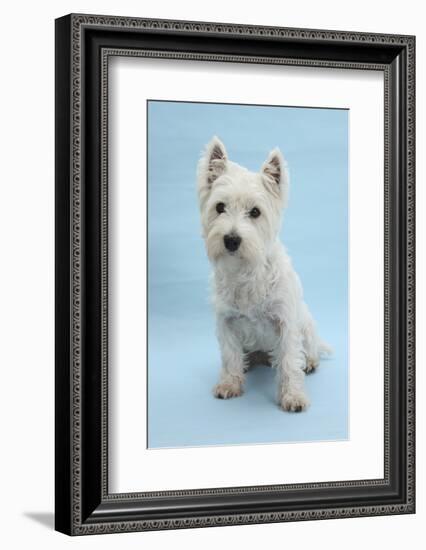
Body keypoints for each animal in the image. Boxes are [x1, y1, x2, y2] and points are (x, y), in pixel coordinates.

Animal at [196, 137, 330, 414]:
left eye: (255, 212)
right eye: (220, 207)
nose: (231, 240)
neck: (245, 270)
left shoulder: (285, 322)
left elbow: (289, 361)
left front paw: (293, 397)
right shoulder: (226, 322)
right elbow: (230, 355)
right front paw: (229, 384)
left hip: (306, 323)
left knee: (308, 349)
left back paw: (309, 362)